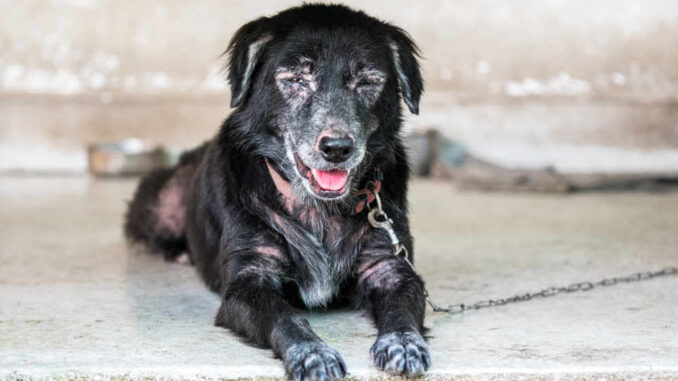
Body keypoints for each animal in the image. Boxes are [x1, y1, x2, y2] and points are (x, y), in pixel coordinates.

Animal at [125, 4, 428, 378]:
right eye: (296, 79)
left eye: (368, 81)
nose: (337, 148)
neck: (317, 208)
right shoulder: (249, 280)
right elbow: (286, 316)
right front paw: (312, 353)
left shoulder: (388, 265)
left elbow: (401, 309)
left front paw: (403, 342)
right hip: (162, 202)